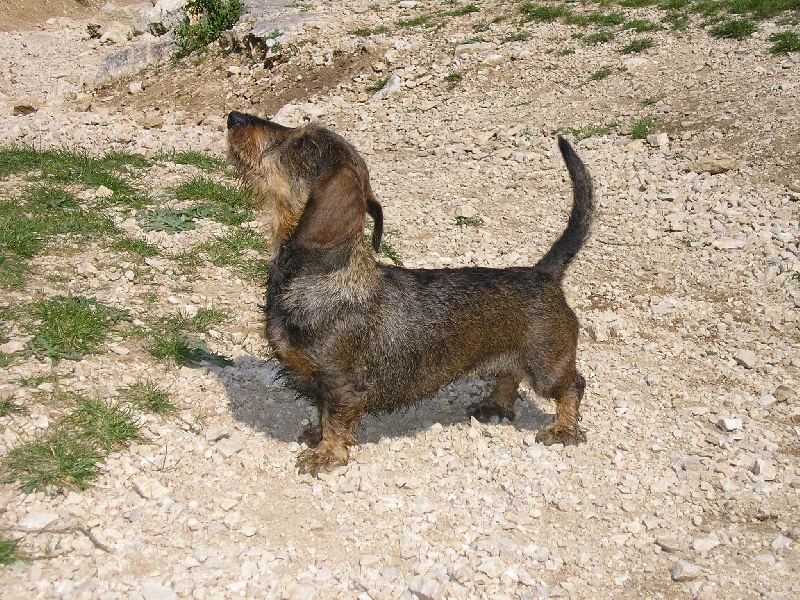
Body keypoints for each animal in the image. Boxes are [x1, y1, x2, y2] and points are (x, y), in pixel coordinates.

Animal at [225, 109, 592, 474]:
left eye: (300, 143)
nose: (234, 117)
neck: (319, 278)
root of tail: (542, 273)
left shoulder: (342, 384)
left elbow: (336, 420)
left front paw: (327, 454)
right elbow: (321, 412)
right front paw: (316, 435)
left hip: (547, 366)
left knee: (573, 385)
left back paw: (563, 428)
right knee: (509, 374)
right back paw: (497, 404)